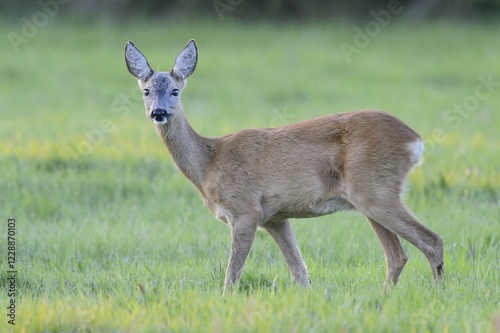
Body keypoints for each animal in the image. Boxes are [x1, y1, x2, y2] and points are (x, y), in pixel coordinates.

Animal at [125, 39, 446, 294]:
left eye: (175, 91)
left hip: (374, 191)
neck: (209, 163)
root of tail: (415, 140)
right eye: (146, 91)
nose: (159, 113)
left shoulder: (246, 210)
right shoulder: (275, 217)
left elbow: (232, 275)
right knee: (397, 256)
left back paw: (438, 293)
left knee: (431, 240)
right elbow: (299, 270)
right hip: (368, 198)